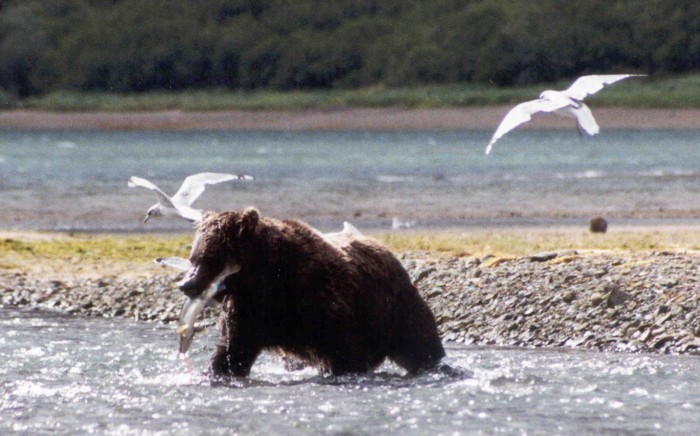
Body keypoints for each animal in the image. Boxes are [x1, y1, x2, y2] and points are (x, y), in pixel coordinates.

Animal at [178, 209, 446, 378]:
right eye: (194, 257)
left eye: (211, 258)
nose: (186, 284)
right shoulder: (248, 310)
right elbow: (232, 350)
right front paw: (214, 372)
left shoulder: (322, 302)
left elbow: (345, 350)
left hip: (395, 309)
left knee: (419, 343)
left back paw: (433, 363)